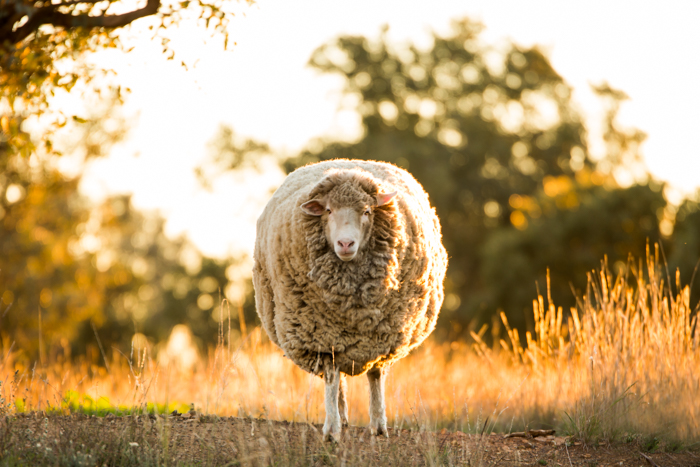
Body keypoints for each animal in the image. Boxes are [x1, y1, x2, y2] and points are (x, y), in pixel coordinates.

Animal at [254, 159, 446, 440]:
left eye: (366, 211)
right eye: (328, 210)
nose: (346, 243)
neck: (352, 308)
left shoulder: (381, 335)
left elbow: (376, 376)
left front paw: (379, 425)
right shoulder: (322, 337)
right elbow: (332, 378)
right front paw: (331, 429)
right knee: (336, 379)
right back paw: (341, 418)